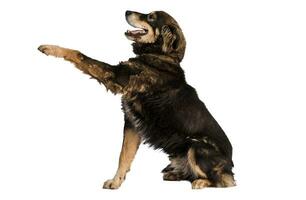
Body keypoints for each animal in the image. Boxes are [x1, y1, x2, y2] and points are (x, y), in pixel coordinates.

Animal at [37, 10, 234, 189]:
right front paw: (116, 182)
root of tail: (231, 163)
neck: (160, 55)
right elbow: (124, 155)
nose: (127, 11)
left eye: (151, 17)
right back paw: (176, 174)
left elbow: (80, 55)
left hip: (196, 146)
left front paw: (50, 48)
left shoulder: (115, 76)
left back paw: (201, 181)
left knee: (224, 180)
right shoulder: (132, 122)